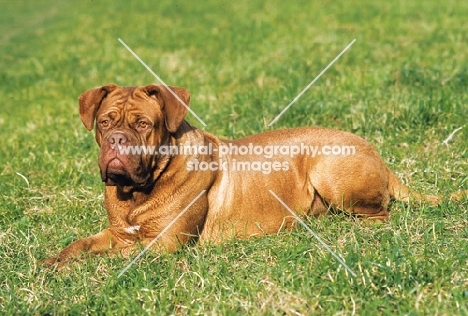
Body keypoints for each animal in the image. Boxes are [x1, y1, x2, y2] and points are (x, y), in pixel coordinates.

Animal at [42, 82, 462, 266]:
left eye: (143, 124)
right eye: (105, 121)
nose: (116, 140)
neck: (138, 190)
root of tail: (376, 152)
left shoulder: (163, 244)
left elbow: (109, 257)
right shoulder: (118, 232)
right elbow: (81, 245)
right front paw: (55, 261)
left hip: (328, 167)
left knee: (379, 215)